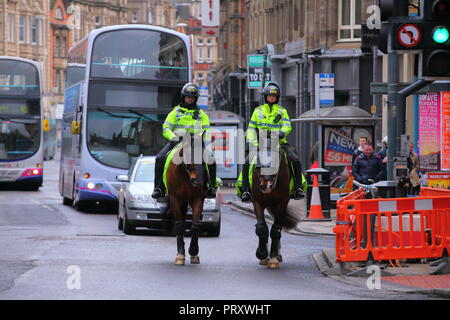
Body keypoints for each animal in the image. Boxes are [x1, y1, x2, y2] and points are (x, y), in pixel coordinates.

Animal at [165, 132, 211, 264]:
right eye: (189, 155)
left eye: (203, 156)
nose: (199, 180)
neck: (185, 175)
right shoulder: (175, 199)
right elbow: (179, 225)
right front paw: (180, 254)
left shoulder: (198, 199)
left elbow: (195, 225)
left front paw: (194, 251)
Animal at [251, 134, 300, 268]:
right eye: (258, 162)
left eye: (275, 161)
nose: (266, 187)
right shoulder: (257, 202)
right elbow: (262, 228)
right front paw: (262, 254)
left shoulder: (282, 203)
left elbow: (276, 229)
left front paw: (273, 258)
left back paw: (277, 255)